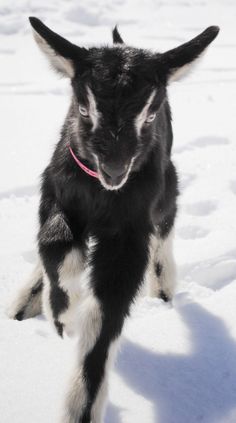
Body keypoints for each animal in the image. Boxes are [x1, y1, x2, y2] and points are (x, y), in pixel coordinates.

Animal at [8, 19, 219, 423]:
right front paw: (62, 313)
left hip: (166, 188)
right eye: (84, 109)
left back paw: (163, 286)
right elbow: (54, 245)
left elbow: (107, 311)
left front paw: (81, 409)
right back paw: (24, 304)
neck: (101, 193)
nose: (115, 168)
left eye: (150, 115)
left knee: (165, 228)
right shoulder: (56, 192)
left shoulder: (130, 231)